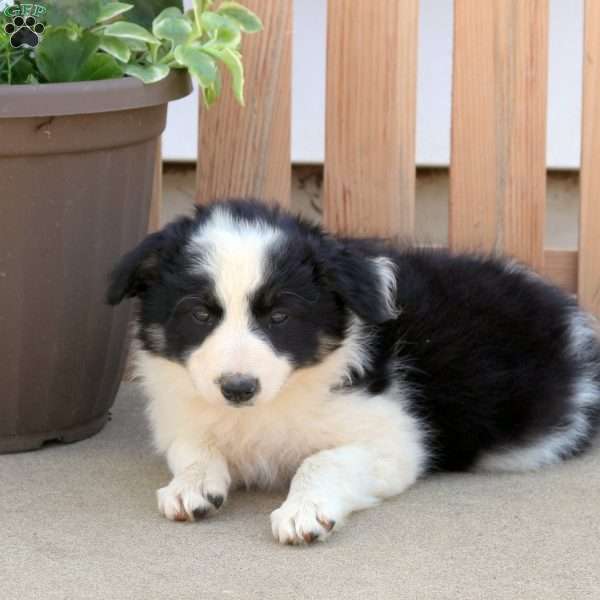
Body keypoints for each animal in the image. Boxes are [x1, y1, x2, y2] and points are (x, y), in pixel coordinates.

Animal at [108, 200, 600, 544]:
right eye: (200, 315)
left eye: (280, 317)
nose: (239, 388)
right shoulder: (184, 414)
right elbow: (193, 448)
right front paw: (190, 486)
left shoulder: (395, 439)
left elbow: (321, 459)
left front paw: (303, 512)